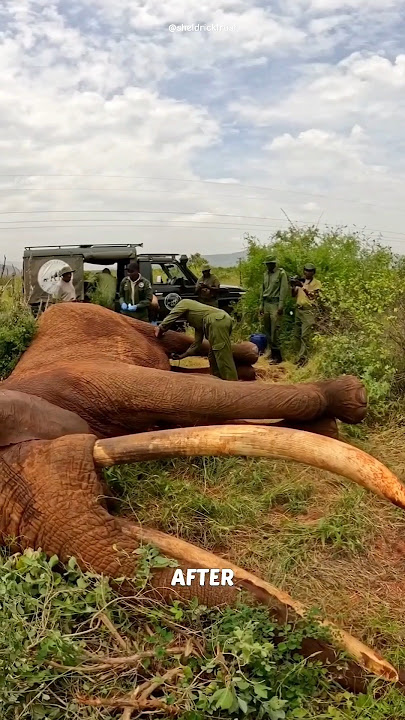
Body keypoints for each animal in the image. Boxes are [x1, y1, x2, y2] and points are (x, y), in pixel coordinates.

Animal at [1, 302, 404, 689]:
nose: (377, 676)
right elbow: (196, 411)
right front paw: (323, 426)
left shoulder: (84, 377)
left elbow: (197, 396)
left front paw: (347, 402)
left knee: (178, 343)